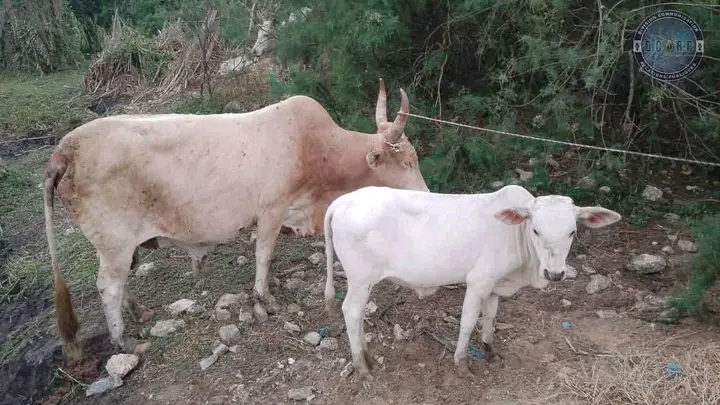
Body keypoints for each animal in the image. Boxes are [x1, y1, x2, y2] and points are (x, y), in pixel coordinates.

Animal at [43, 79, 429, 360]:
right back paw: (125, 342)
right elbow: (264, 254)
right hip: (115, 242)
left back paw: (139, 314)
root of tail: (64, 149)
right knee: (108, 286)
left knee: (120, 284)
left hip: (119, 246)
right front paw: (265, 299)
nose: (426, 195)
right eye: (407, 161)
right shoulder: (272, 209)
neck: (317, 150)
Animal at [323, 185, 621, 380]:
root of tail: (341, 202)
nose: (555, 274)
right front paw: (462, 363)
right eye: (536, 230)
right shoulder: (478, 281)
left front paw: (490, 351)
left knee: (357, 316)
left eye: (572, 232)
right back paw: (362, 367)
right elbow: (467, 322)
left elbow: (490, 318)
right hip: (360, 279)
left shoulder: (495, 285)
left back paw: (365, 356)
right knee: (351, 312)